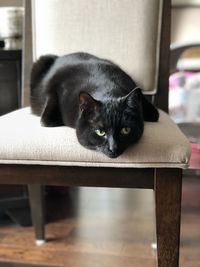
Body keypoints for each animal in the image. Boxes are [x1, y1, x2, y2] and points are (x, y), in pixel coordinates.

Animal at [30, 52, 159, 158]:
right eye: (100, 132)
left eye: (125, 130)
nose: (113, 148)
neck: (107, 88)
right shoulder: (55, 88)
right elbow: (47, 118)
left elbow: (155, 114)